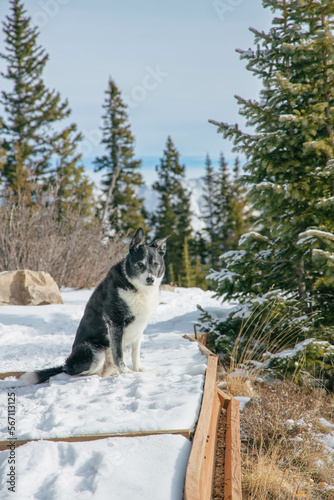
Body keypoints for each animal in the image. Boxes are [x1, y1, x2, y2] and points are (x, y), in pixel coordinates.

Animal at [20, 229, 170, 384]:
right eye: (140, 264)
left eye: (156, 264)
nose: (150, 279)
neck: (136, 288)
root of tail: (65, 366)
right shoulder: (115, 323)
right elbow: (118, 355)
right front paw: (126, 373)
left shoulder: (139, 328)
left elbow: (136, 352)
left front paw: (137, 368)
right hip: (94, 352)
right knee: (78, 373)